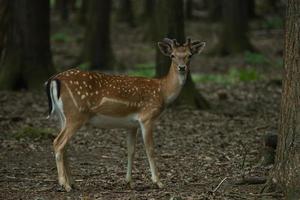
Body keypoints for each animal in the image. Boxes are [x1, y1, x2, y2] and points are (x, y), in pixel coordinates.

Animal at [45, 37, 205, 191]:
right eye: (172, 55)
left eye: (189, 55)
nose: (182, 67)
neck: (163, 92)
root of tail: (54, 79)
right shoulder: (147, 117)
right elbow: (150, 149)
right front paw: (158, 182)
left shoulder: (131, 125)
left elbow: (131, 150)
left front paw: (129, 182)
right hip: (76, 115)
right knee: (58, 142)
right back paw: (64, 184)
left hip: (63, 116)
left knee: (64, 145)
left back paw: (72, 183)